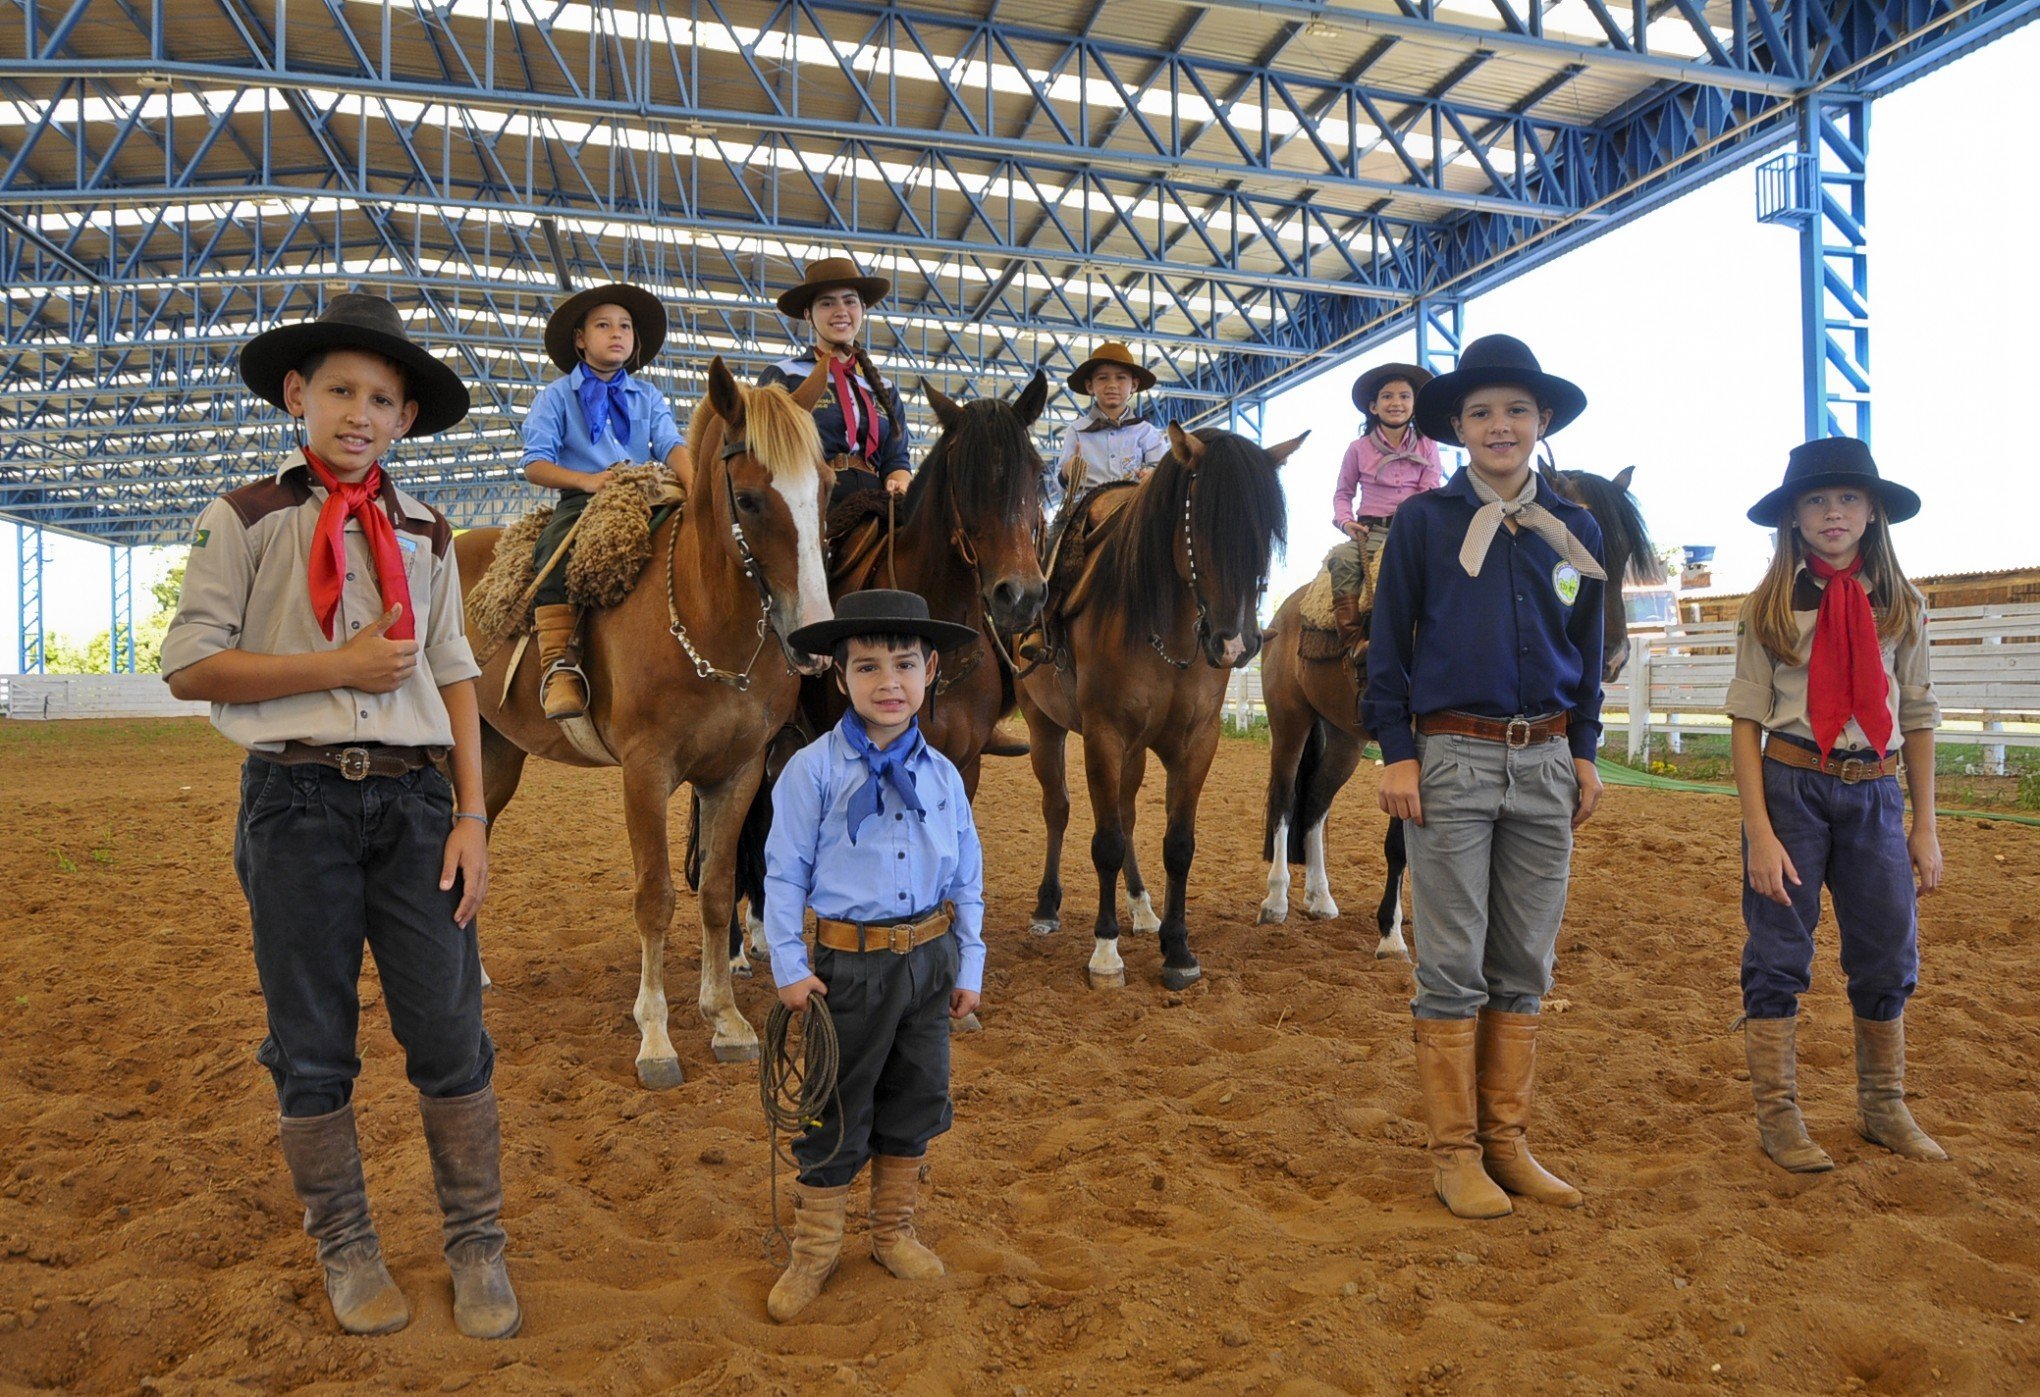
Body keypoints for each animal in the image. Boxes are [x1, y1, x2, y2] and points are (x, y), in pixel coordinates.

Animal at [452, 354, 828, 1084]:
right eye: (749, 499)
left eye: (824, 487)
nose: (812, 638)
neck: (705, 624)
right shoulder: (645, 772)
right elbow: (654, 897)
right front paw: (655, 1036)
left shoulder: (738, 773)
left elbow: (717, 890)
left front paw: (726, 1019)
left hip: (494, 754)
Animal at [1020, 420, 1305, 987]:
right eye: (1205, 523)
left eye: (1264, 531)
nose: (1235, 644)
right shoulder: (1104, 735)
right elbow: (1104, 841)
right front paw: (1105, 952)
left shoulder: (1196, 742)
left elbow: (1178, 844)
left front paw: (1177, 948)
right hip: (1043, 724)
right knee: (1058, 808)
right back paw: (1047, 907)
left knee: (1127, 815)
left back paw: (1142, 908)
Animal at [1248, 462, 1664, 954]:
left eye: (1619, 553)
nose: (1613, 658)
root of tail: (1284, 616)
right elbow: (1400, 840)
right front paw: (1391, 935)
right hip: (1290, 721)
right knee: (1285, 799)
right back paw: (1276, 900)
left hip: (1344, 739)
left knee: (1314, 801)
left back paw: (1320, 898)